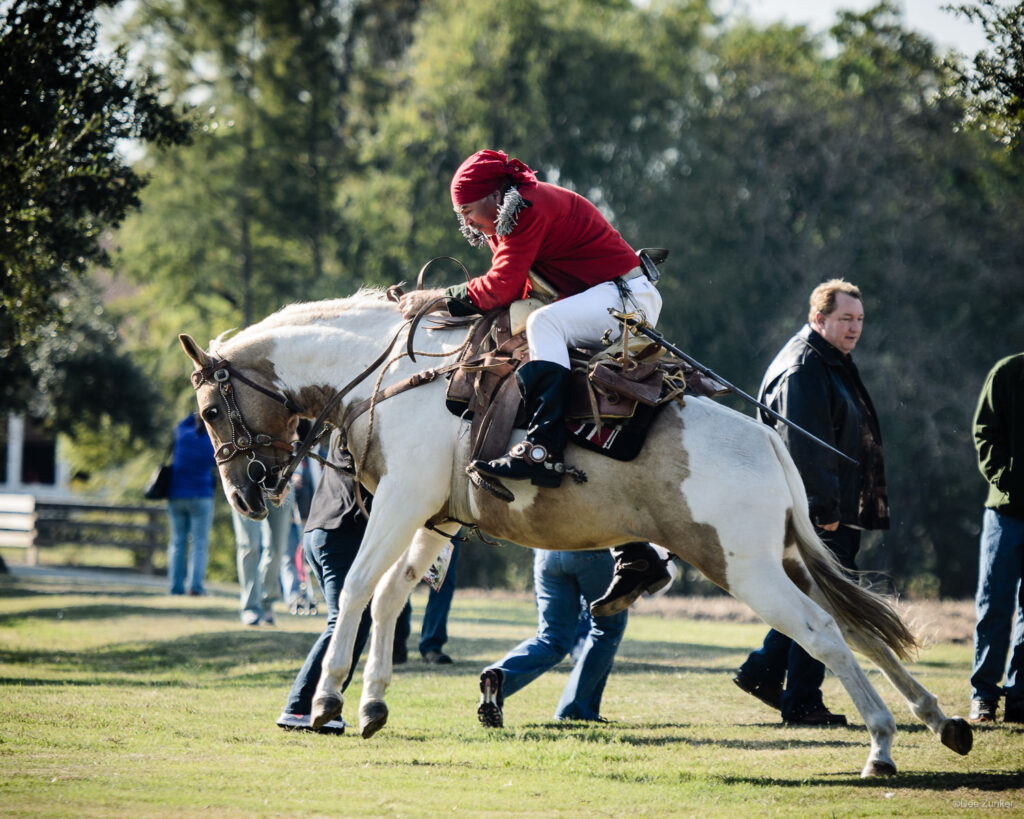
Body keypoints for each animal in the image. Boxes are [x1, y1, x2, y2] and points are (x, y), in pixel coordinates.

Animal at [180, 290, 970, 778]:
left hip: (748, 570)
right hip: (788, 560)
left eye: (213, 409)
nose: (246, 492)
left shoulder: (402, 501)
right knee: (859, 628)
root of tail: (769, 441)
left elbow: (353, 594)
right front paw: (371, 701)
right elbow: (387, 598)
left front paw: (329, 702)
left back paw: (883, 746)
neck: (399, 375)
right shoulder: (436, 518)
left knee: (825, 633)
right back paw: (940, 720)